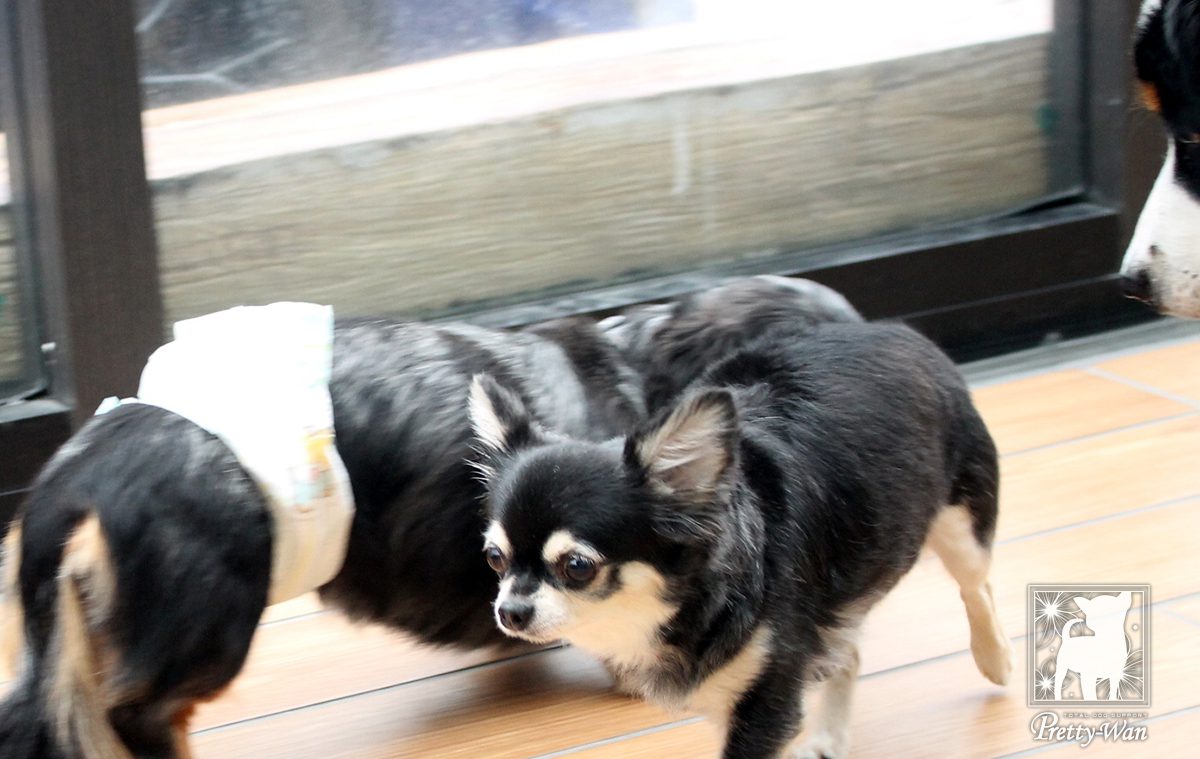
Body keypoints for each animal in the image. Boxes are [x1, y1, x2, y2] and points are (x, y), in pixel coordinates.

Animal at [470, 321, 1014, 758]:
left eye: (577, 567)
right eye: (494, 558)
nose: (510, 611)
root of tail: (903, 331)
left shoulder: (766, 703)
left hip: (962, 524)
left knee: (978, 586)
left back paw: (997, 660)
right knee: (848, 649)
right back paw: (828, 739)